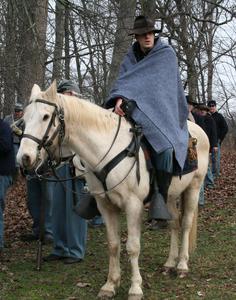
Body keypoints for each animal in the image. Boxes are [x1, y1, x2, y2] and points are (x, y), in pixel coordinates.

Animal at [17, 82, 208, 300]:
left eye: (46, 116)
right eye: (25, 119)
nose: (24, 158)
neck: (107, 148)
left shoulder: (133, 205)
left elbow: (132, 247)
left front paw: (135, 288)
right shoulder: (105, 205)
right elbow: (113, 244)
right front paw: (110, 284)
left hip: (194, 187)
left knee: (185, 224)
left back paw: (182, 265)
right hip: (169, 196)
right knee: (174, 224)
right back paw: (169, 263)